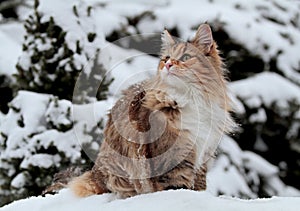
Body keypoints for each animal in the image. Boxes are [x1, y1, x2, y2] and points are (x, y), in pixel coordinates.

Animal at [47, 23, 236, 199]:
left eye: (186, 57)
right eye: (166, 58)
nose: (168, 65)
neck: (189, 98)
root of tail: (96, 171)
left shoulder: (204, 152)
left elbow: (199, 185)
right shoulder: (174, 156)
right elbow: (177, 185)